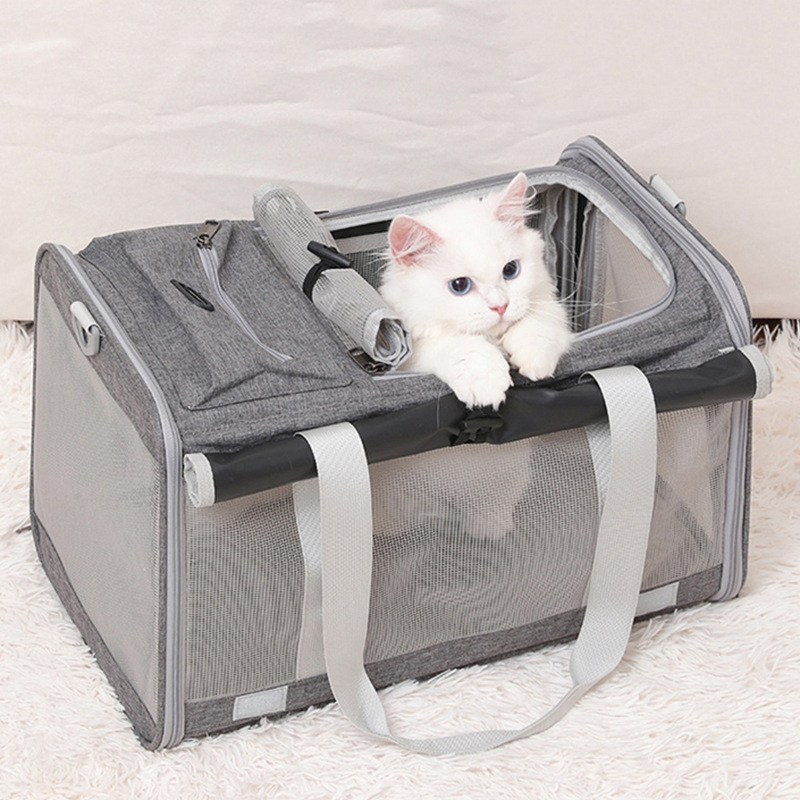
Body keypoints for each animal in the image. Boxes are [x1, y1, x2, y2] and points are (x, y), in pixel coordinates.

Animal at [380, 172, 573, 408]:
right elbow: (460, 346)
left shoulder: (547, 304)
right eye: (459, 285)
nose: (501, 306)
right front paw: (486, 381)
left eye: (510, 270)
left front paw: (534, 358)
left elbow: (540, 324)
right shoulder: (412, 355)